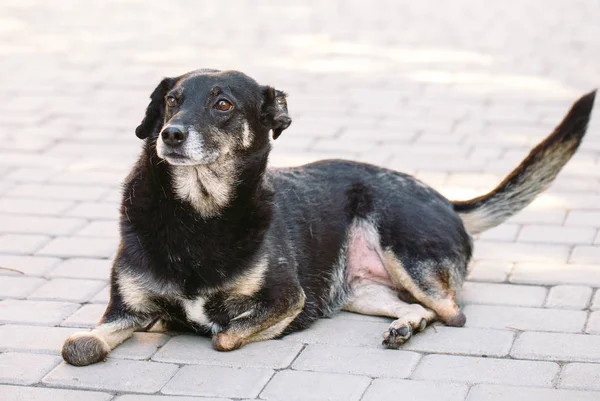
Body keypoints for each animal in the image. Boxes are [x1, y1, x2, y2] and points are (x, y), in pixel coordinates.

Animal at [61, 69, 596, 366]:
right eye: (171, 100)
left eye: (223, 104)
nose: (169, 134)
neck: (198, 215)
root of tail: (446, 199)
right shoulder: (126, 311)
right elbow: (77, 346)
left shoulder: (286, 298)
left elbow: (225, 335)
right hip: (360, 289)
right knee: (418, 307)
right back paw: (406, 326)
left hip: (401, 243)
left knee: (452, 311)